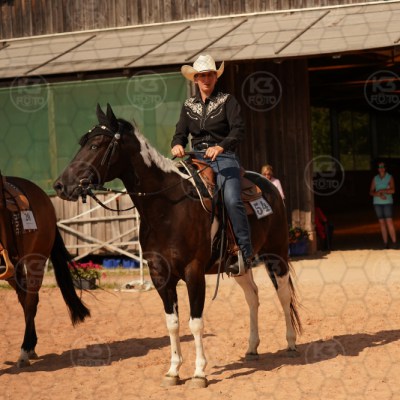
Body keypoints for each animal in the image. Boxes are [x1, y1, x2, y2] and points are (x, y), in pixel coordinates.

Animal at [53, 104, 302, 388]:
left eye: (95, 145)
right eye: (82, 143)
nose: (61, 185)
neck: (167, 206)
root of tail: (269, 186)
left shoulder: (194, 272)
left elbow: (195, 323)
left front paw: (199, 373)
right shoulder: (160, 275)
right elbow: (172, 323)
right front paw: (173, 371)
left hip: (277, 255)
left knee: (284, 295)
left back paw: (291, 343)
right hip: (240, 266)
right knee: (253, 297)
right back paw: (252, 347)